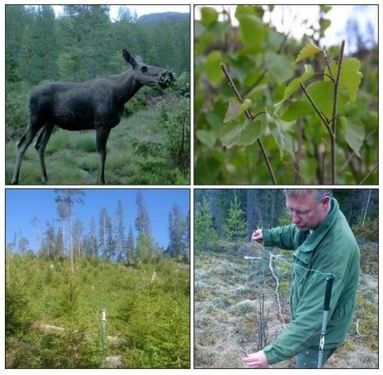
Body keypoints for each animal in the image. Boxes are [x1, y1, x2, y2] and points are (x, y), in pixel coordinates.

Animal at [11, 49, 175, 184]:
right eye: (144, 68)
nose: (168, 75)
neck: (121, 96)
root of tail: (29, 95)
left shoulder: (107, 126)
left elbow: (103, 152)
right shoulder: (101, 124)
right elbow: (102, 152)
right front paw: (101, 181)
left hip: (50, 122)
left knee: (39, 145)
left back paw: (45, 178)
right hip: (36, 118)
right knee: (22, 143)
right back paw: (15, 179)